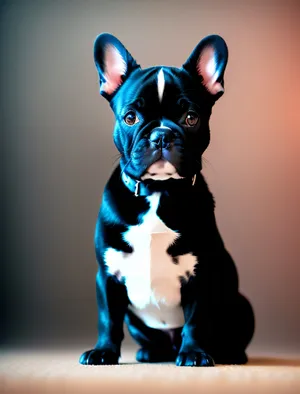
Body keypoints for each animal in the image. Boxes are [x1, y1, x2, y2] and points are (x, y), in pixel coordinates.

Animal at [78, 33, 254, 366]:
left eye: (191, 118)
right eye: (130, 118)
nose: (161, 134)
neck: (158, 191)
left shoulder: (200, 275)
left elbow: (196, 319)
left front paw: (194, 353)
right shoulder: (106, 276)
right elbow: (107, 318)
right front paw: (104, 351)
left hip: (242, 305)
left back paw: (227, 353)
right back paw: (151, 352)